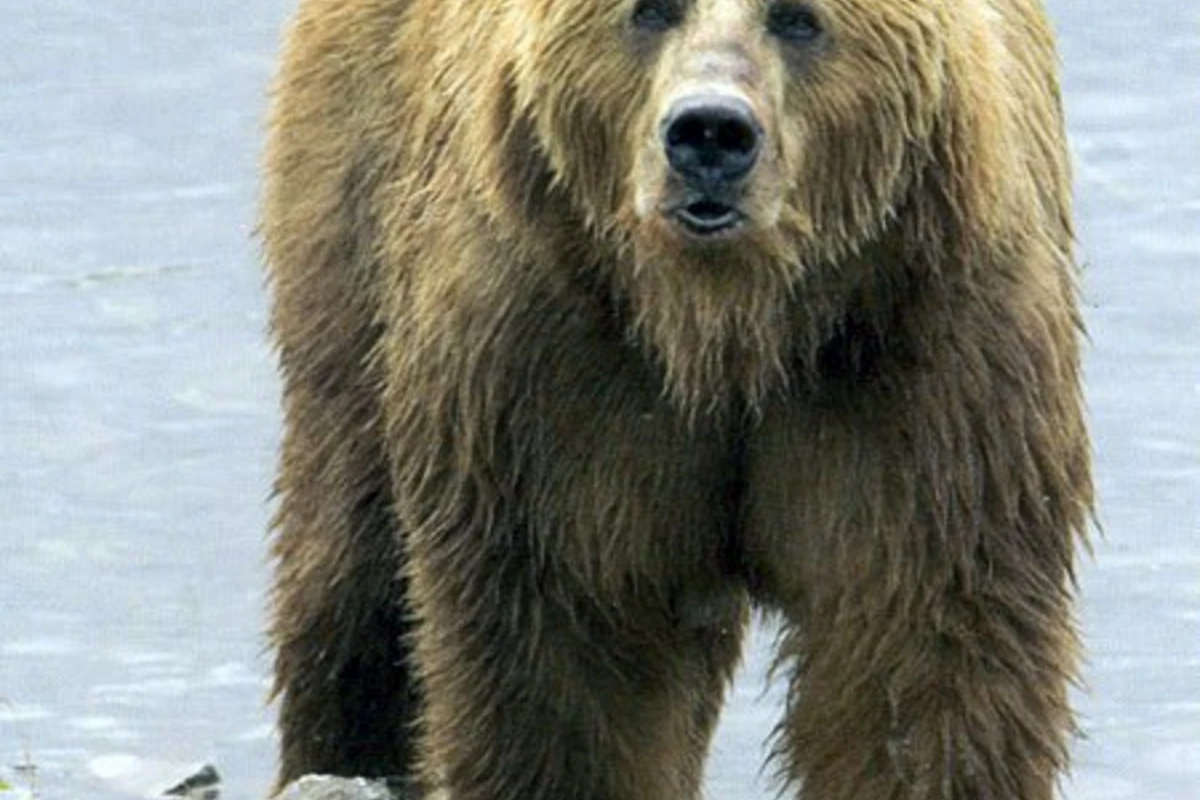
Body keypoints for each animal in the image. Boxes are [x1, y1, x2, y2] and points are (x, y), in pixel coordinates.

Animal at [260, 0, 1093, 798]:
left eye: (798, 18)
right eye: (652, 9)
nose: (710, 133)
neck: (725, 328)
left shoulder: (921, 360)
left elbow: (919, 652)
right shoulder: (556, 364)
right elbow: (563, 651)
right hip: (358, 199)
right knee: (355, 556)